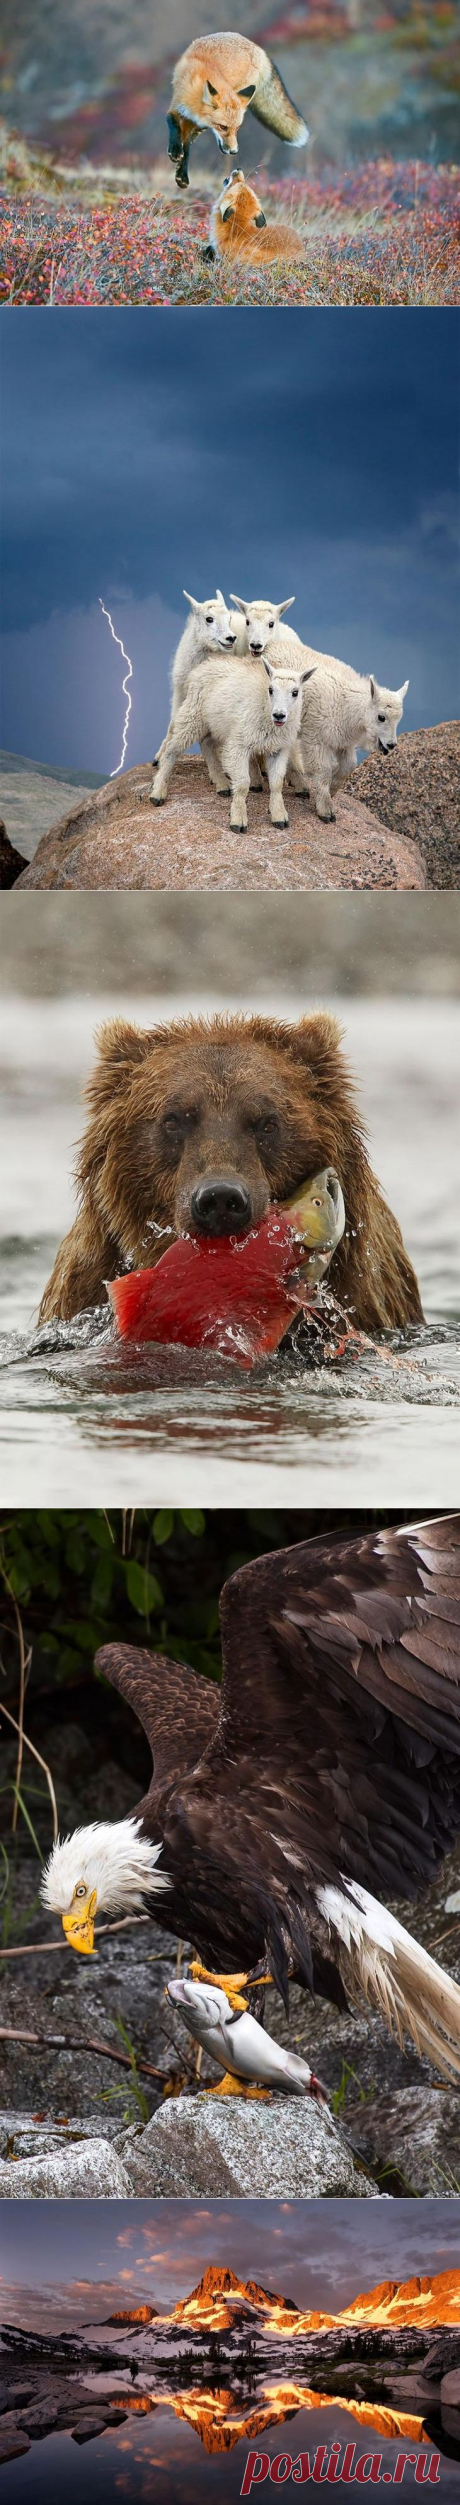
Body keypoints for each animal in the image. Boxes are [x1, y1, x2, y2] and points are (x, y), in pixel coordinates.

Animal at [167, 31, 307, 187]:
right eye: (223, 127)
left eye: (238, 128)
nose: (234, 151)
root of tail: (257, 48)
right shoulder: (178, 105)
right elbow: (173, 123)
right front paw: (175, 151)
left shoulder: (195, 121)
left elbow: (187, 145)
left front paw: (182, 174)